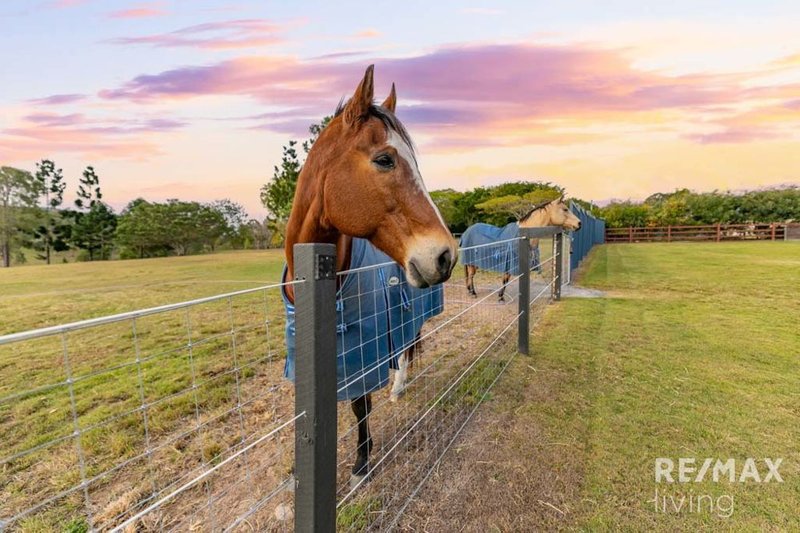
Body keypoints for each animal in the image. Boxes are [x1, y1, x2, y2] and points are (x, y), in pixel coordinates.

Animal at [280, 65, 456, 486]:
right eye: (385, 160)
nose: (445, 256)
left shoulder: (362, 355)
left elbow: (361, 405)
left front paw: (362, 462)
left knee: (407, 348)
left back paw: (399, 387)